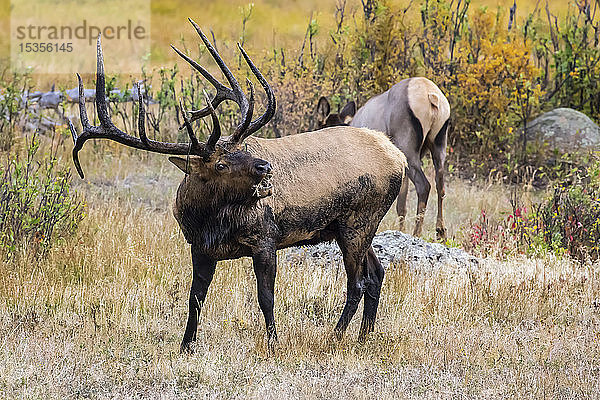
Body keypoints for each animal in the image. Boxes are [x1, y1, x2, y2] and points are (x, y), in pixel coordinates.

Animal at [70, 20, 408, 352]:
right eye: (220, 164)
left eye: (242, 148)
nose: (266, 167)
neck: (208, 221)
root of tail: (399, 157)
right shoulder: (200, 248)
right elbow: (195, 298)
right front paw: (186, 346)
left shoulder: (265, 240)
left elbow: (266, 298)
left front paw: (273, 345)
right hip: (348, 227)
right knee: (376, 273)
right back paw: (364, 336)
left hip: (359, 221)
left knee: (358, 282)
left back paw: (335, 337)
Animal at [318, 79, 450, 241]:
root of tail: (432, 97)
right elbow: (401, 204)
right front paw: (400, 231)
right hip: (439, 143)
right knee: (440, 184)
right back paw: (441, 232)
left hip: (407, 146)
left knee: (424, 185)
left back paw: (417, 233)